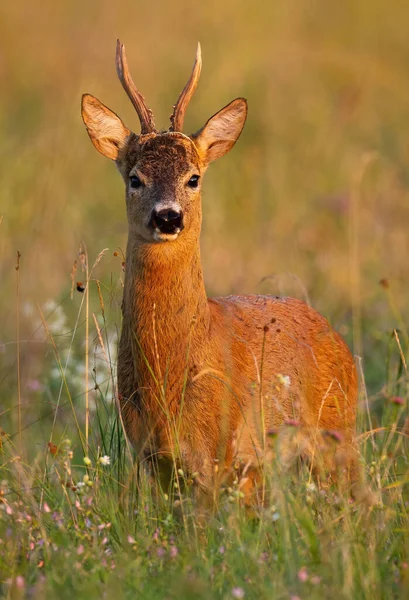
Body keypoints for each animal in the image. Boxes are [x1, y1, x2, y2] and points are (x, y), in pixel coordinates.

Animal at [80, 41, 356, 502]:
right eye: (135, 178)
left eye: (193, 178)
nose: (168, 217)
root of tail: (337, 337)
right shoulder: (153, 458)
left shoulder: (219, 455)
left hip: (337, 437)